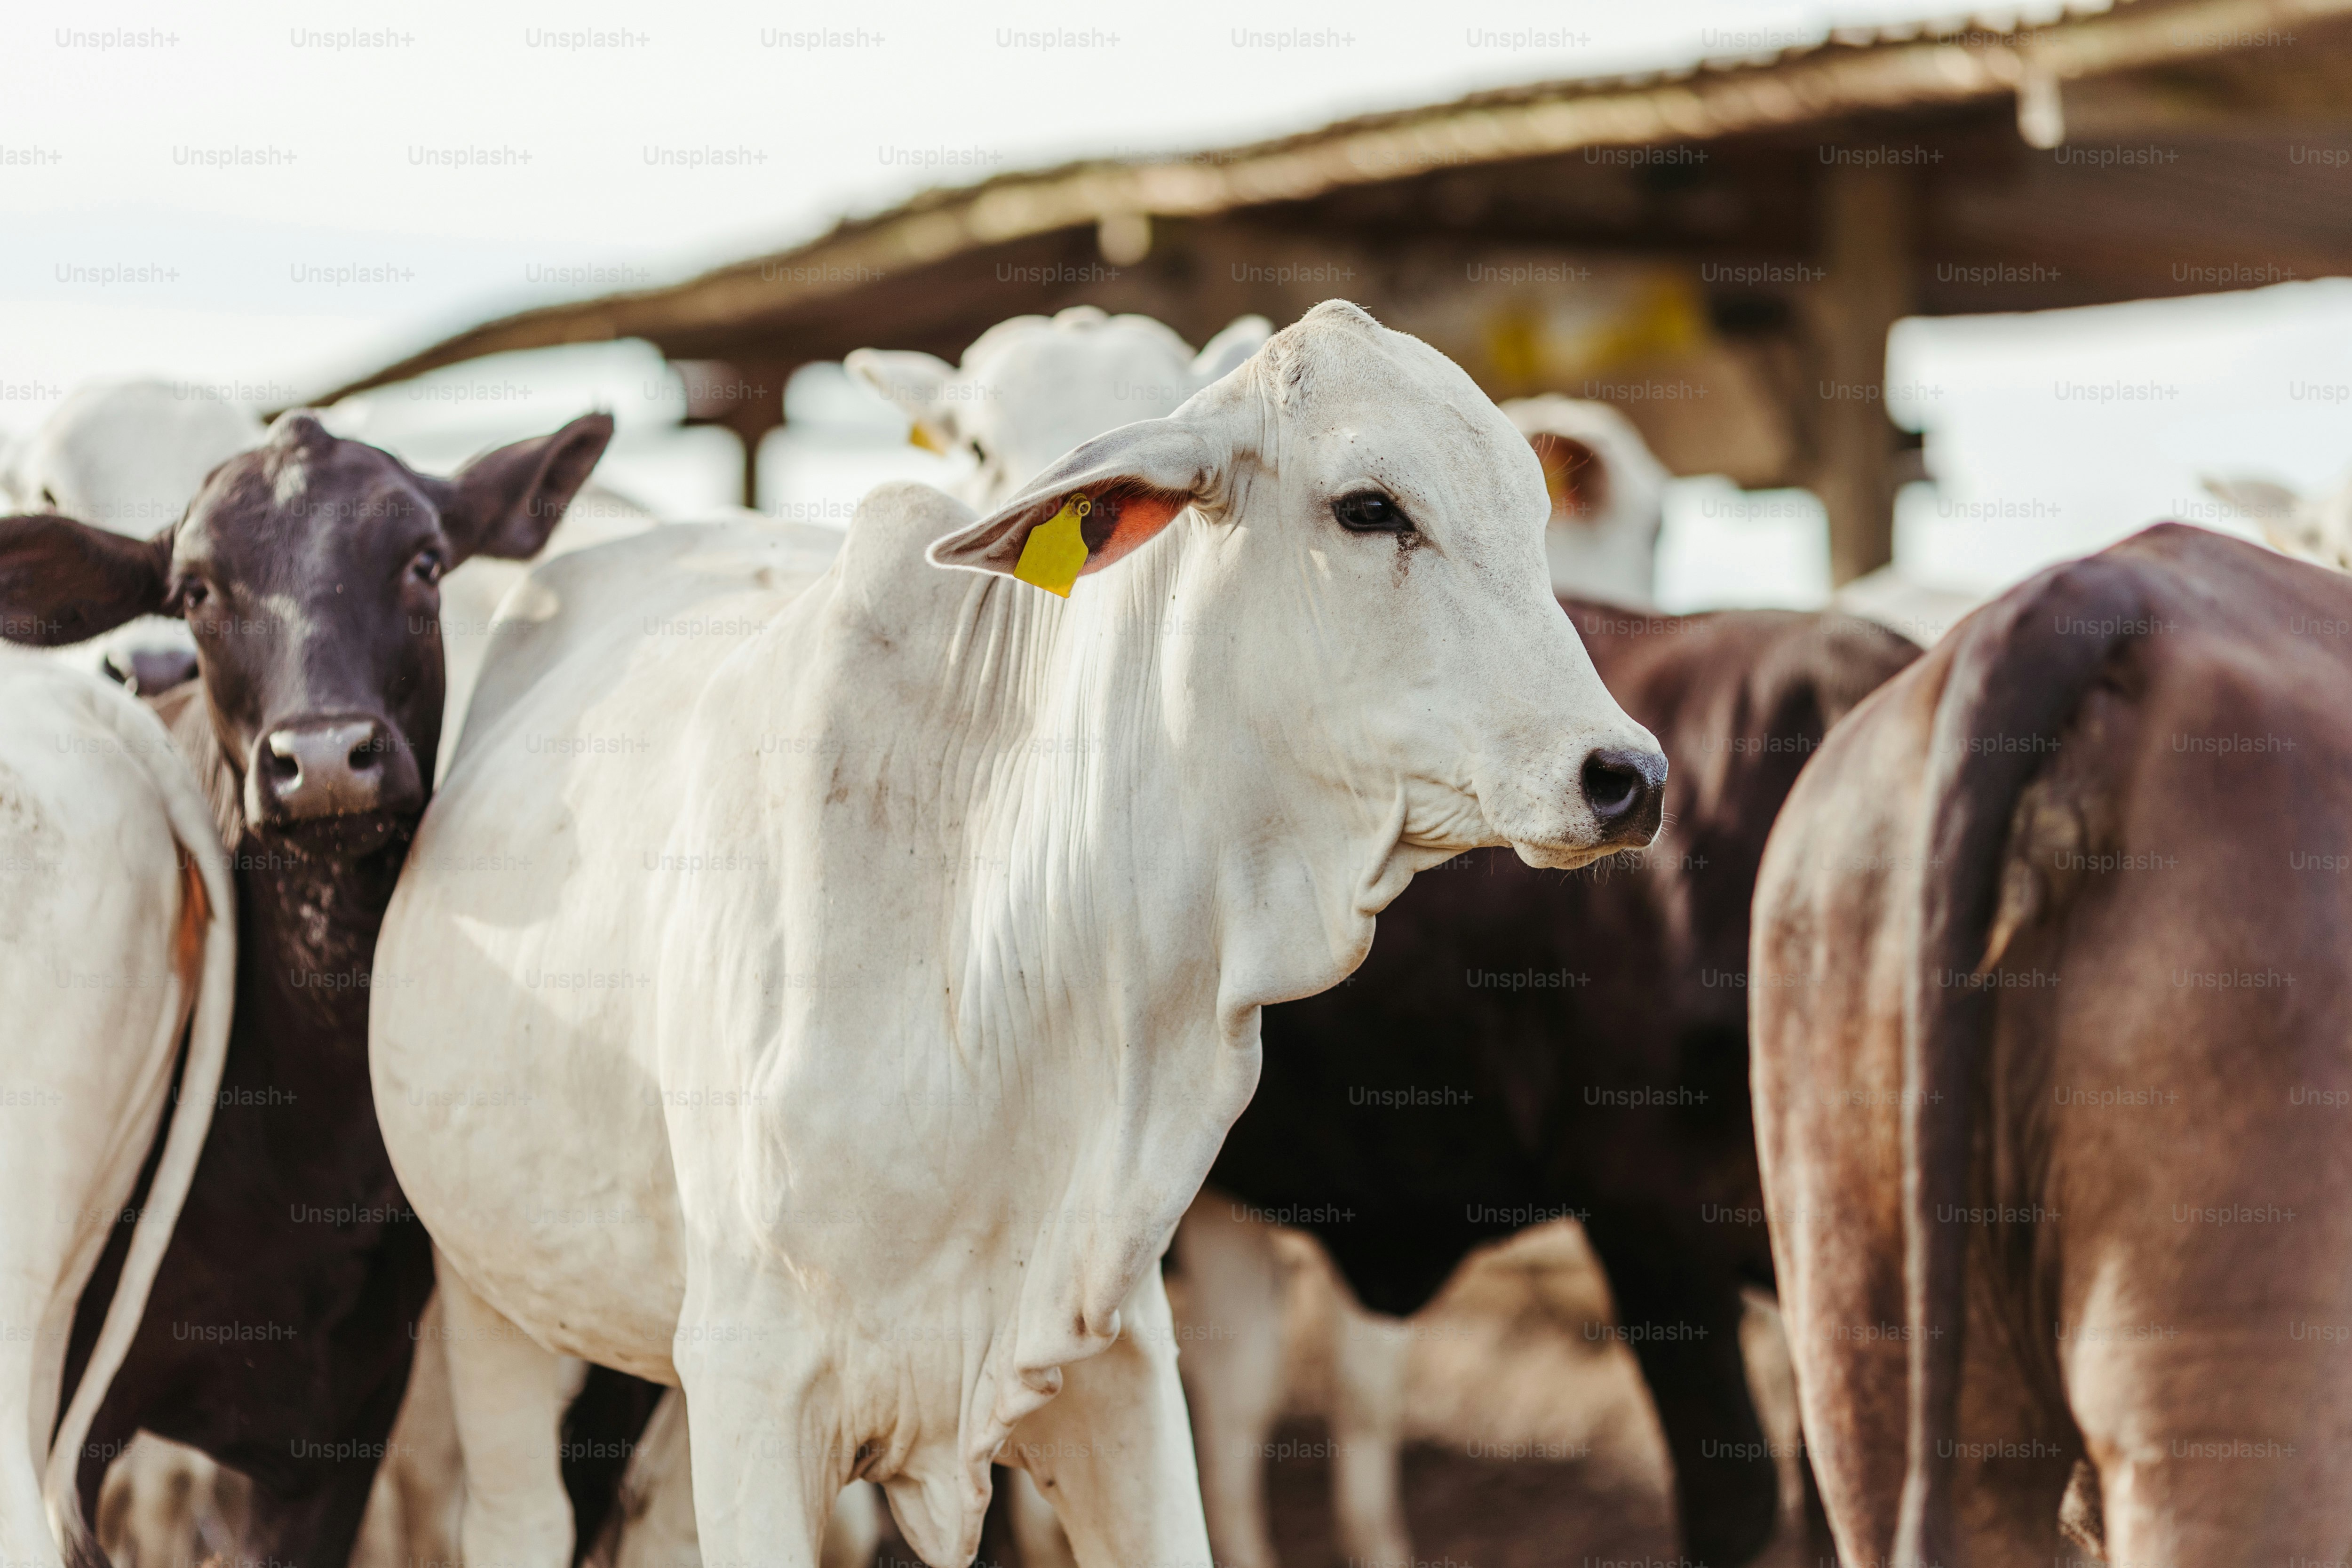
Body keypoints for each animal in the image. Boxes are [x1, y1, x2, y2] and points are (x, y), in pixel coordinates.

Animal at [365, 299, 1667, 1568]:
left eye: (1535, 515)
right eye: (1368, 508)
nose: (1628, 775)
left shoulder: (1113, 1360)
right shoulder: (752, 1378)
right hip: (495, 1294)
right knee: (510, 1516)